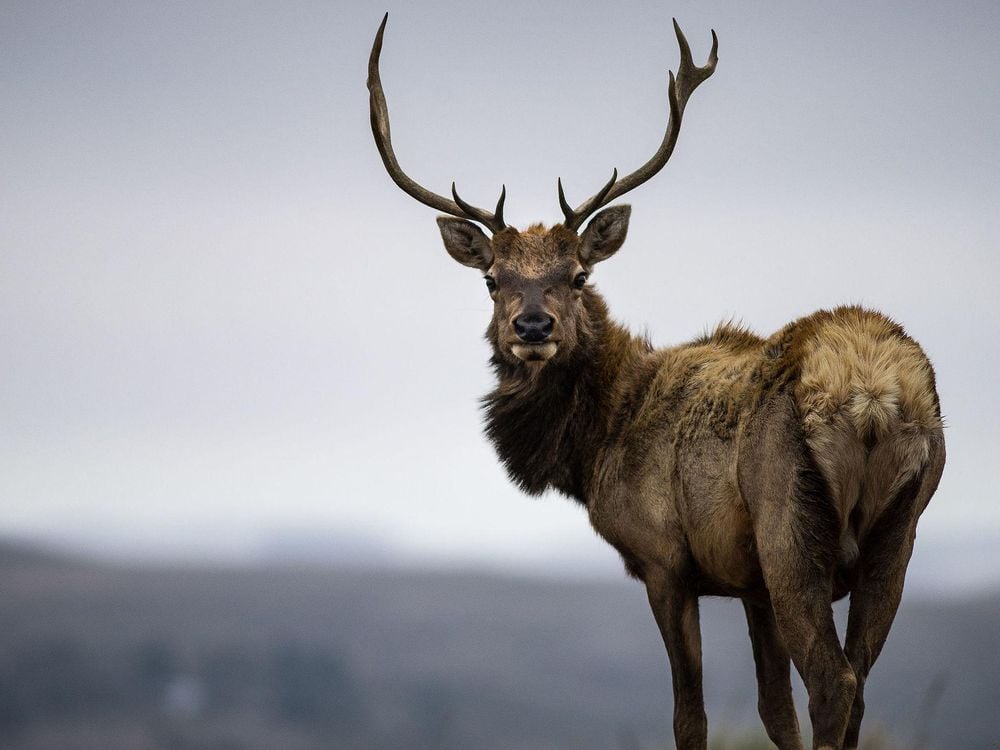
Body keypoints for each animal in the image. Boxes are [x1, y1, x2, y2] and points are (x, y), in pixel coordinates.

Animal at [368, 13, 944, 750]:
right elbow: (772, 710)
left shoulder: (664, 559)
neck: (598, 439)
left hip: (790, 530)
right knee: (860, 684)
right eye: (492, 278)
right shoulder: (748, 581)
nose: (532, 325)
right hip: (897, 534)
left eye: (578, 274)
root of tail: (874, 398)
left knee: (834, 683)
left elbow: (690, 716)